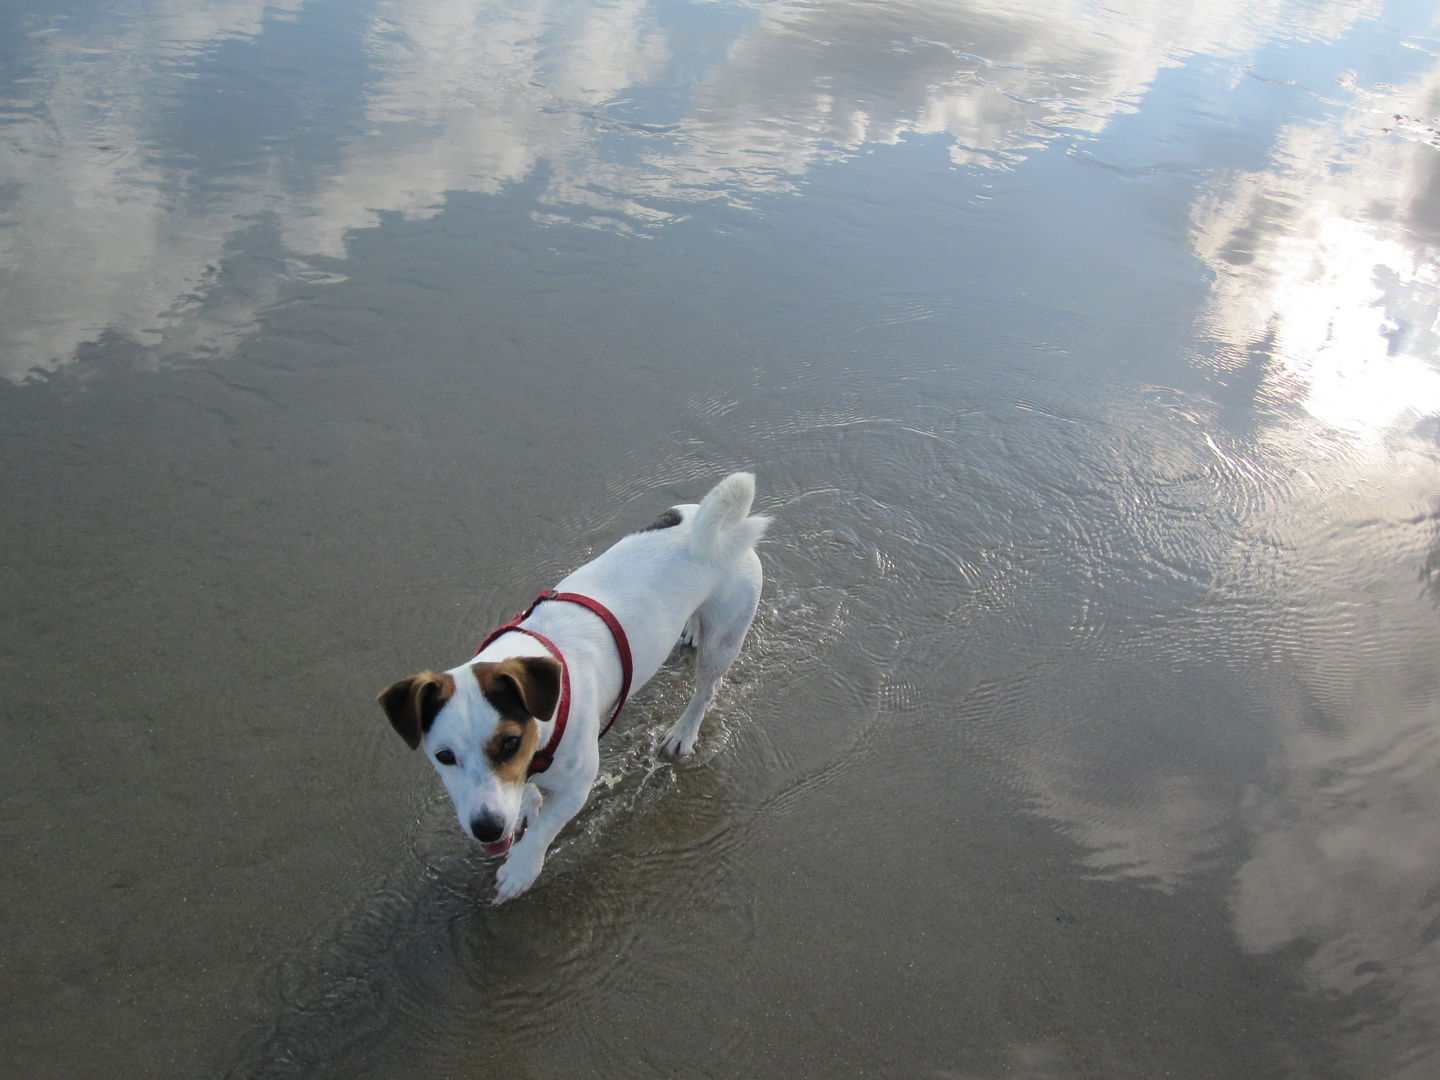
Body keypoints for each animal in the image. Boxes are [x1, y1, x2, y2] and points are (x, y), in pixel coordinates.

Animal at [377, 472, 771, 904]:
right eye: (444, 757)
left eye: (510, 743)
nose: (486, 828)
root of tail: (719, 531)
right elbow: (529, 800)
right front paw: (527, 806)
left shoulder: (578, 785)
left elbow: (546, 828)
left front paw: (521, 867)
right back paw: (691, 630)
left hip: (726, 638)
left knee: (706, 690)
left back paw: (684, 732)